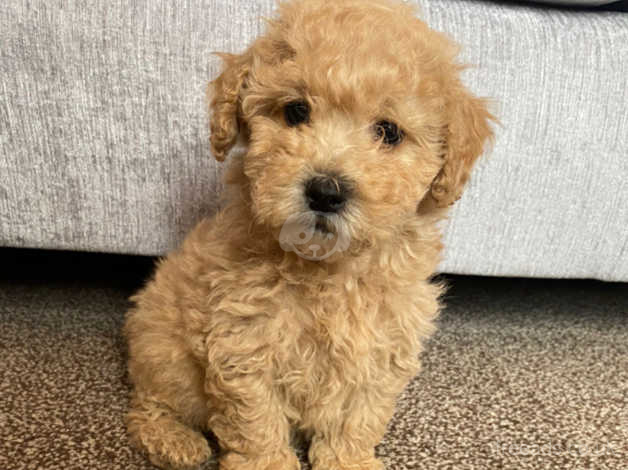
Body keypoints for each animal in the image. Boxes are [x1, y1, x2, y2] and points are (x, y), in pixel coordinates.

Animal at [124, 0, 496, 470]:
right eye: (296, 111)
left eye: (389, 131)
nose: (326, 191)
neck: (327, 268)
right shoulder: (243, 341)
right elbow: (256, 422)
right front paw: (268, 463)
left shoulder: (381, 346)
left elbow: (358, 418)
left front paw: (348, 461)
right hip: (167, 357)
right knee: (148, 403)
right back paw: (174, 439)